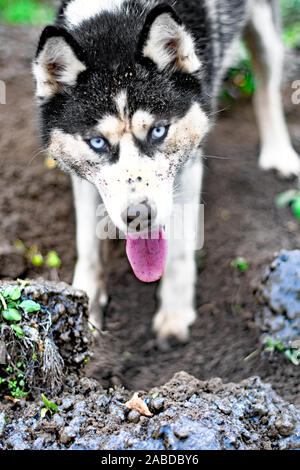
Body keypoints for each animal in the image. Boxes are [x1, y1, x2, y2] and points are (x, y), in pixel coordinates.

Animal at [32, 0, 298, 340]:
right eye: (97, 142)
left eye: (158, 131)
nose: (138, 215)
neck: (117, 17)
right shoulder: (82, 177)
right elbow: (88, 246)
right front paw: (84, 307)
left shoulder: (188, 166)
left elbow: (180, 250)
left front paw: (175, 315)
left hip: (264, 30)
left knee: (267, 85)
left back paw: (278, 151)